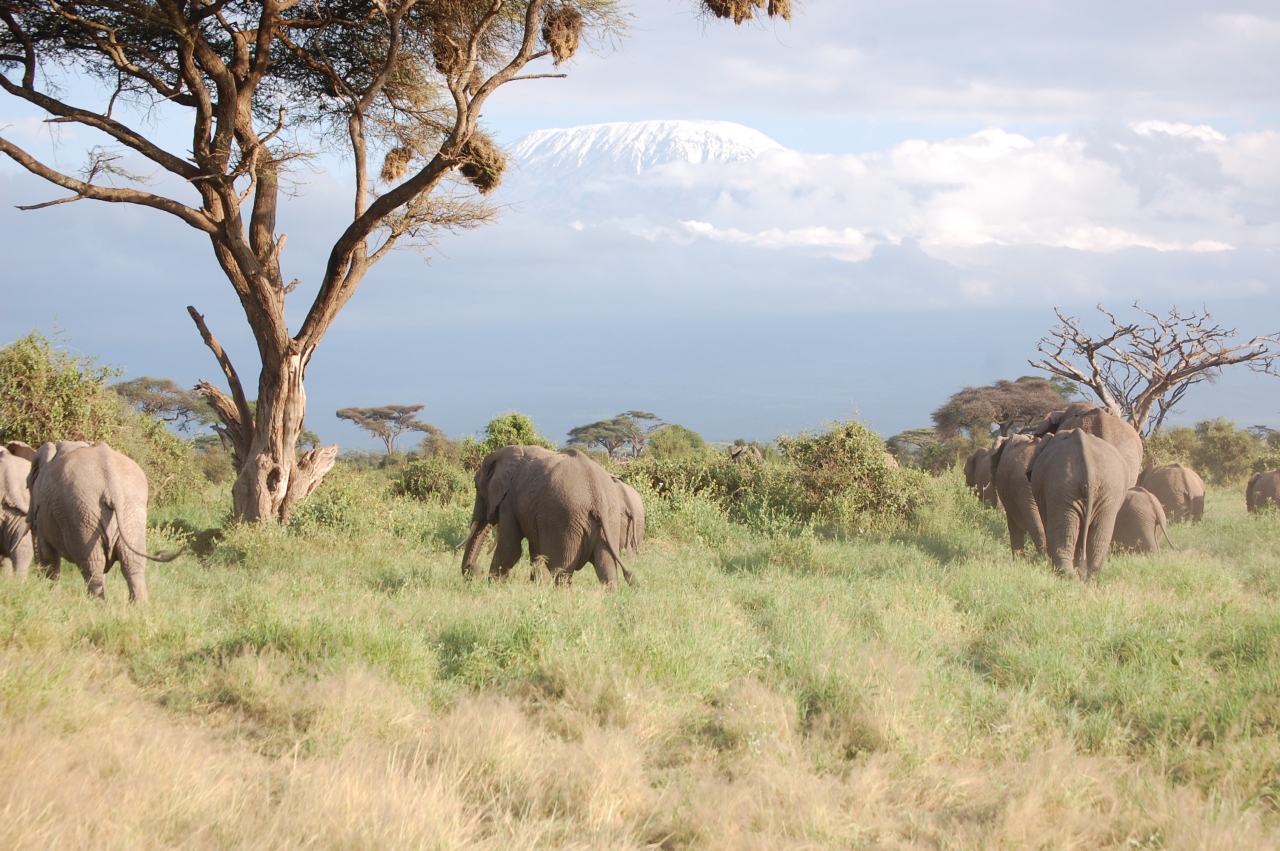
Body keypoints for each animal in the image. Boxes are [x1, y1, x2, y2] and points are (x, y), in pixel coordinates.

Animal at [27, 440, 179, 601]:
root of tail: (113, 489)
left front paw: (52, 598)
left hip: (81, 514)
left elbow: (47, 555)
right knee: (131, 563)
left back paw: (95, 604)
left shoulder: (44, 511)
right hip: (129, 511)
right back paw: (138, 606)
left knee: (92, 566)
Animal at [460, 445, 640, 591]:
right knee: (606, 568)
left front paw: (493, 588)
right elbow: (536, 553)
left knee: (562, 571)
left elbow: (510, 550)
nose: (473, 570)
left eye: (477, 487)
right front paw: (539, 588)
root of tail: (596, 492)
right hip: (610, 518)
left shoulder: (510, 501)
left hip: (565, 520)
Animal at [1029, 427, 1131, 580]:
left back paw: (1073, 579)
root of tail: (1090, 476)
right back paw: (1087, 579)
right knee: (1098, 541)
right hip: (1106, 490)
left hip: (1062, 487)